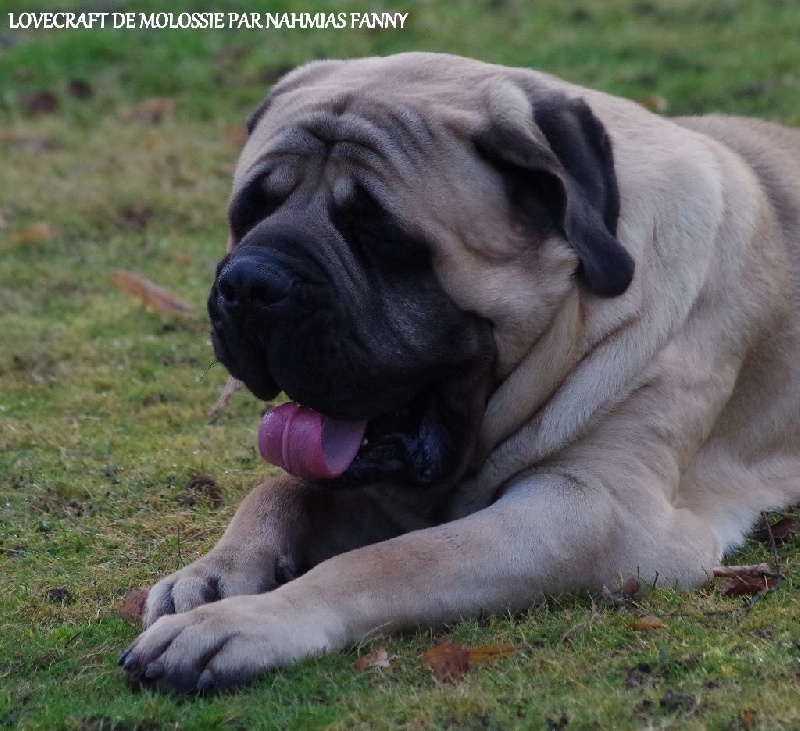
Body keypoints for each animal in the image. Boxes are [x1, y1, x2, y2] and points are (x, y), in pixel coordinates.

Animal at [120, 52, 800, 692]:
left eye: (379, 233)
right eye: (249, 212)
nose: (250, 284)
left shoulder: (596, 510)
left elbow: (393, 561)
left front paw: (241, 623)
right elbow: (279, 489)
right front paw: (212, 575)